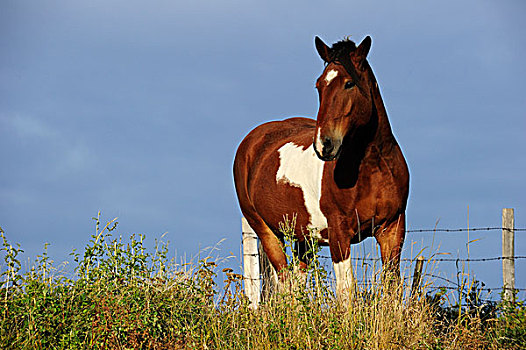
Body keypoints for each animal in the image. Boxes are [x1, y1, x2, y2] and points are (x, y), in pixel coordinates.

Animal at [235, 35, 412, 296]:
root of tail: (253, 139)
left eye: (349, 83)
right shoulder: (339, 234)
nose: (323, 144)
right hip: (267, 231)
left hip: (304, 238)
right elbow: (347, 291)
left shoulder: (392, 229)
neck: (373, 169)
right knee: (285, 283)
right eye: (319, 85)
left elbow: (392, 287)